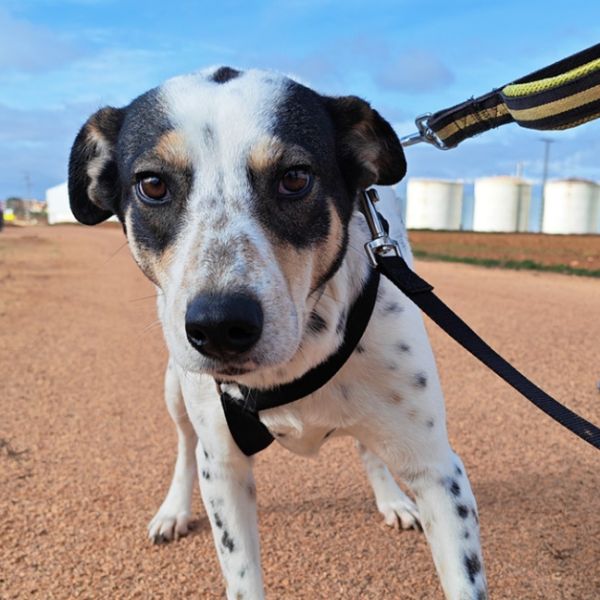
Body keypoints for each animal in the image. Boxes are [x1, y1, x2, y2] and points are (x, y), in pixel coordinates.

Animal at [68, 66, 487, 599]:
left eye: (295, 178)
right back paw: (173, 510)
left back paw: (392, 498)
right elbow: (240, 570)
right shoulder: (223, 467)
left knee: (368, 446)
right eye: (153, 184)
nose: (219, 325)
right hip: (175, 388)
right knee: (185, 447)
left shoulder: (437, 469)